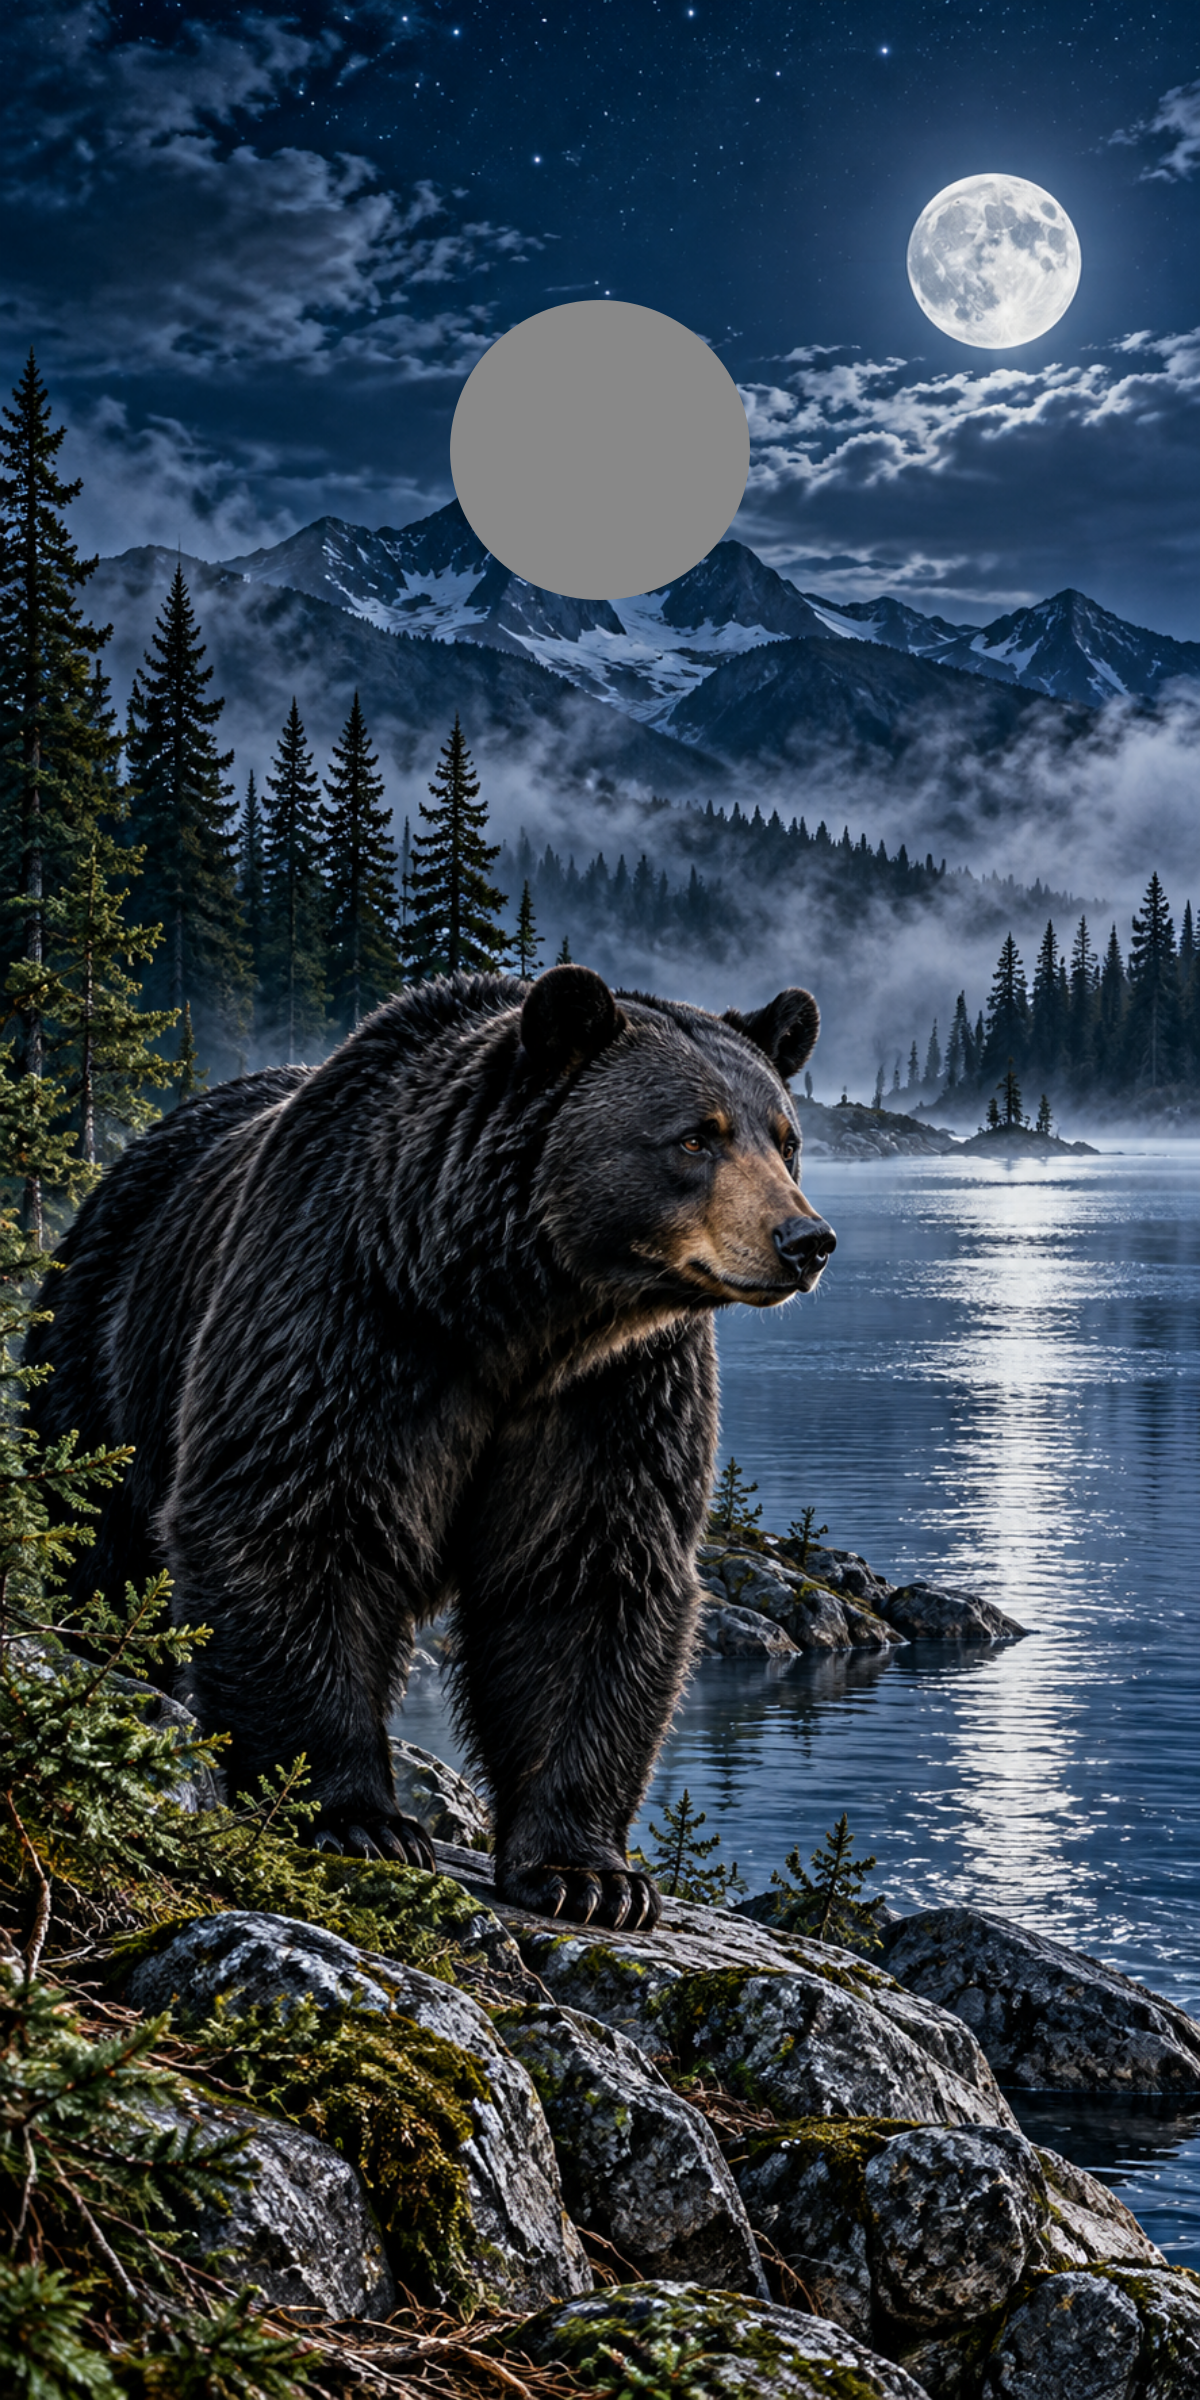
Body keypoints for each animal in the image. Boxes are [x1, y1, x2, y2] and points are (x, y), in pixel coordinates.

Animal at [27, 966, 835, 1929]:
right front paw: (357, 1817)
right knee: (98, 1543)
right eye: (693, 1136)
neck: (514, 1310)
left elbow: (586, 1574)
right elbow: (294, 1519)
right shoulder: (351, 1314)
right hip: (103, 1360)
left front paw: (591, 1876)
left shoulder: (616, 1391)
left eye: (786, 1140)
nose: (805, 1240)